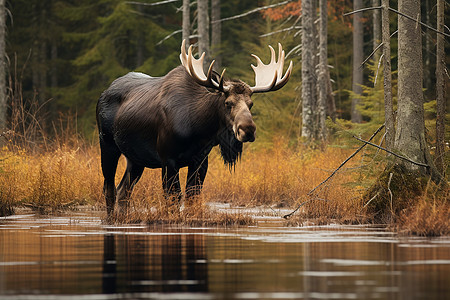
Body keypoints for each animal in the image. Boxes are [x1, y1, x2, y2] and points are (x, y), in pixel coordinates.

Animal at [96, 39, 292, 214]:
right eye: (227, 103)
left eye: (250, 104)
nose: (248, 130)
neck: (199, 130)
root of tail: (103, 94)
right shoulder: (168, 159)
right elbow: (173, 199)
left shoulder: (200, 161)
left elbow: (192, 197)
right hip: (107, 145)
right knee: (109, 188)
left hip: (135, 159)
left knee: (123, 190)